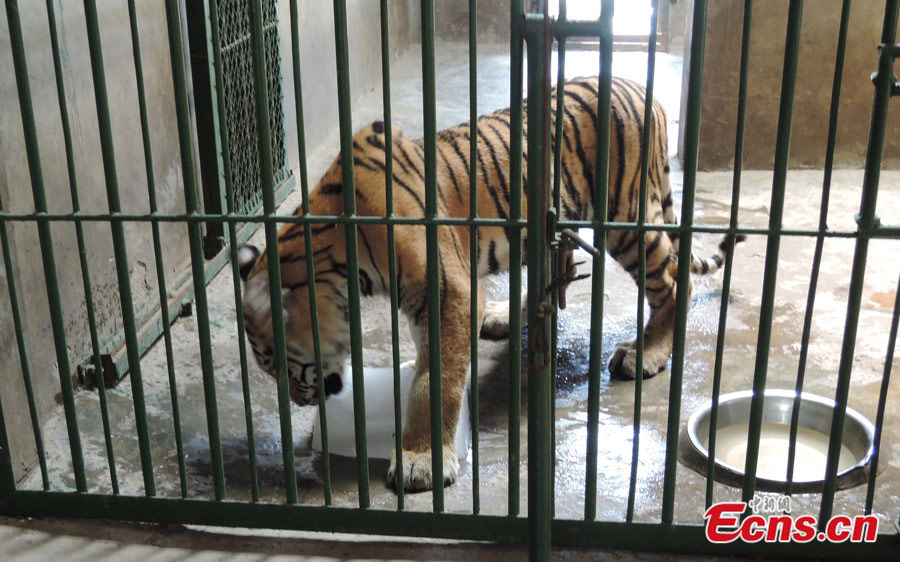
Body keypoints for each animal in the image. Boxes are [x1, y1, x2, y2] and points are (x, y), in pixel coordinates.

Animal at [238, 76, 744, 492]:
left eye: (278, 365)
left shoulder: (447, 291)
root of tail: (644, 89)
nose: (301, 401)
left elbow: (435, 380)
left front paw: (420, 459)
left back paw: (646, 353)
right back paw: (502, 316)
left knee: (675, 284)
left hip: (628, 219)